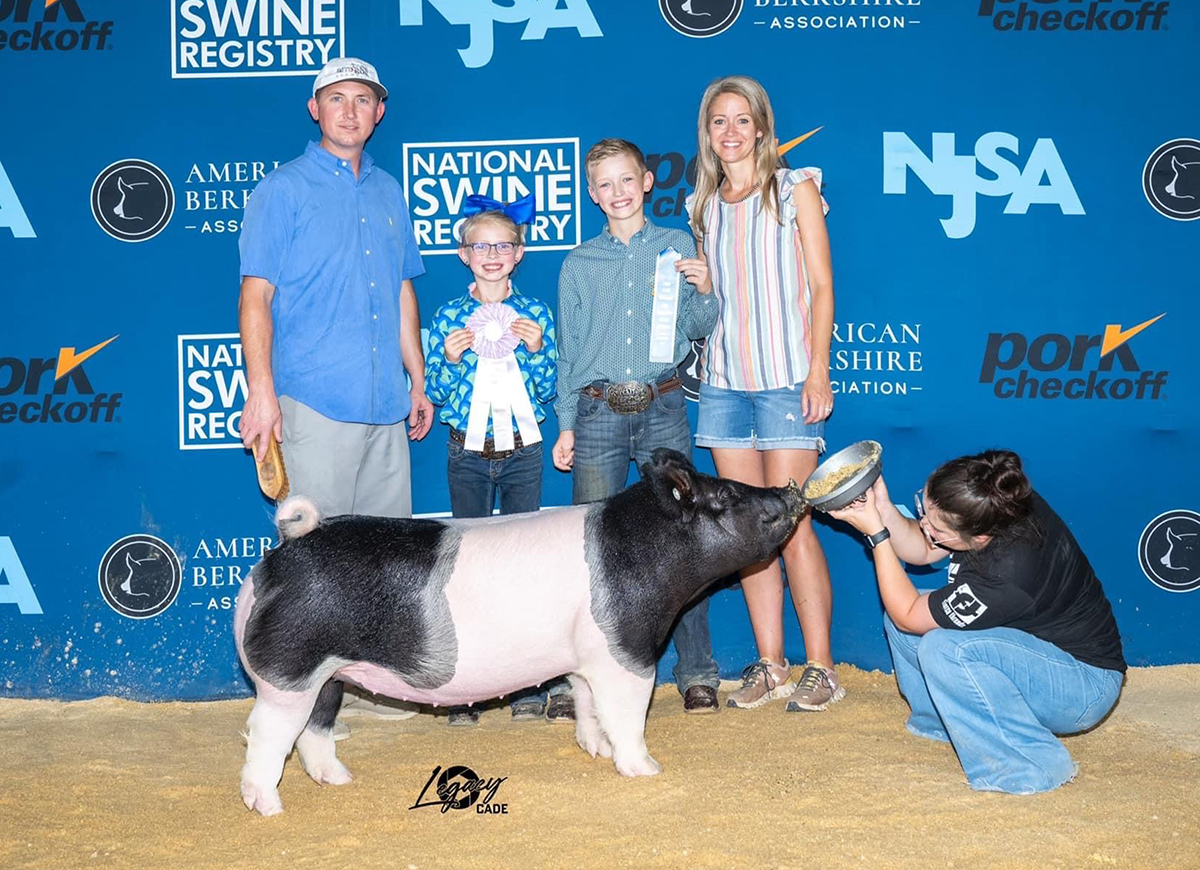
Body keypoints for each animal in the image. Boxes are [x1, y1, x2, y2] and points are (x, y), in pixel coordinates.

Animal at [234, 449, 804, 815]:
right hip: (289, 670)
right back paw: (268, 807)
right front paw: (646, 769)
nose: (787, 489)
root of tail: (283, 552)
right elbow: (627, 714)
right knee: (266, 734)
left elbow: (588, 707)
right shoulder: (627, 651)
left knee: (315, 730)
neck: (655, 554)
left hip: (328, 675)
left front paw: (595, 752)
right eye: (726, 492)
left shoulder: (584, 660)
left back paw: (340, 780)